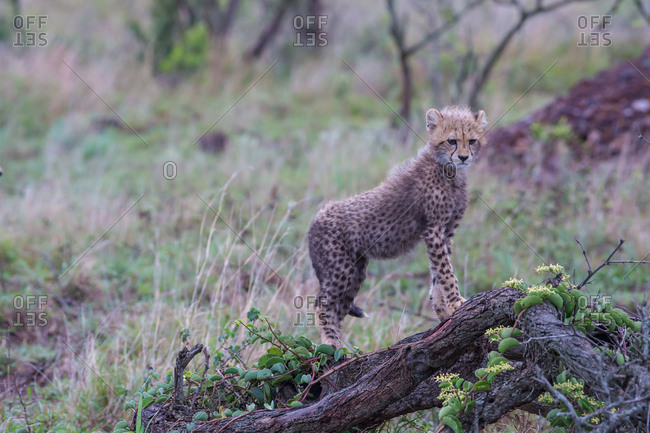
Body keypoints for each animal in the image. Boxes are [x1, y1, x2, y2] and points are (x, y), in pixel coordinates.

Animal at [307, 105, 488, 347]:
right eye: (452, 141)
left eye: (472, 141)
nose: (463, 157)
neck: (448, 170)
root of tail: (316, 218)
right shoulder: (433, 229)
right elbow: (446, 271)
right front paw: (457, 301)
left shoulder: (446, 232)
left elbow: (437, 272)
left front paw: (443, 310)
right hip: (340, 269)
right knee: (322, 304)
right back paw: (332, 344)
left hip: (355, 270)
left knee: (338, 309)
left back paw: (344, 348)